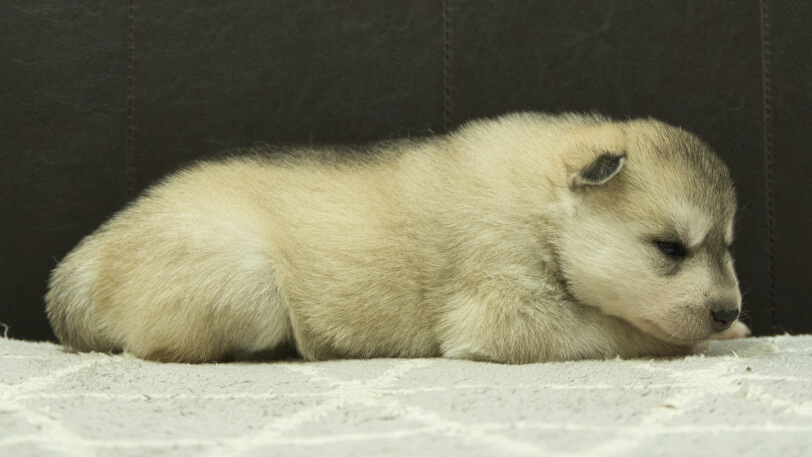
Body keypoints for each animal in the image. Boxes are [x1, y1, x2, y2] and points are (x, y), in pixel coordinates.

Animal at [46, 112, 748, 362]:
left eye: (726, 245)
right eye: (669, 248)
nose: (727, 310)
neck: (543, 208)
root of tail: (80, 264)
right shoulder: (506, 310)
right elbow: (618, 332)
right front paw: (696, 341)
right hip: (247, 284)